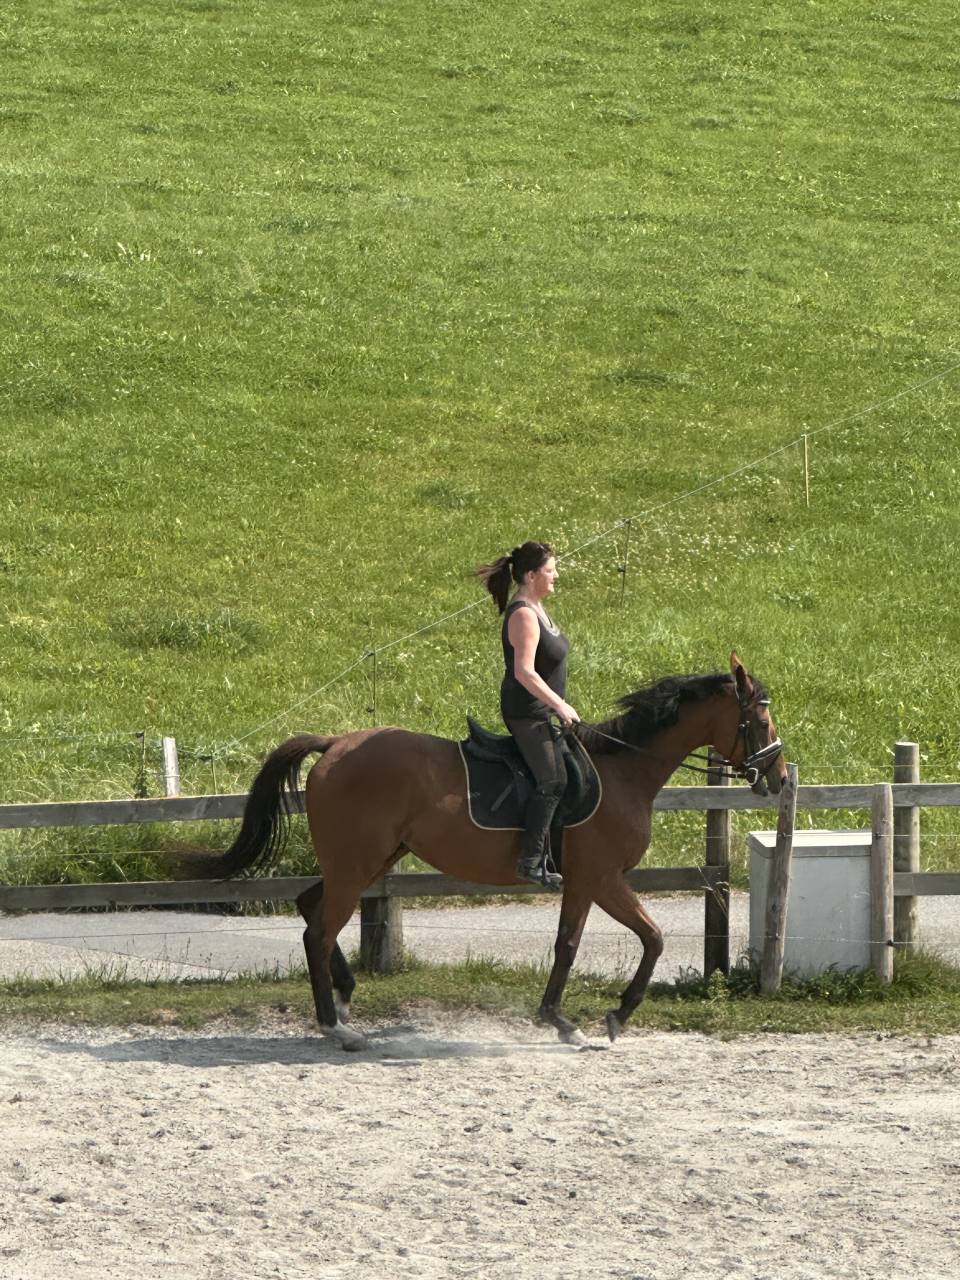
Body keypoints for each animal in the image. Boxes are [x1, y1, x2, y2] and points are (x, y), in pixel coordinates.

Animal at [191, 652, 786, 1050]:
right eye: (760, 722)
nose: (778, 778)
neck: (624, 771)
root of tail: (335, 743)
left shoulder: (591, 881)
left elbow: (595, 942)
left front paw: (578, 1019)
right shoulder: (598, 877)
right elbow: (621, 940)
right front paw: (594, 1018)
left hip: (367, 862)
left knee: (310, 906)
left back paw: (343, 996)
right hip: (356, 865)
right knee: (318, 929)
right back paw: (335, 1025)